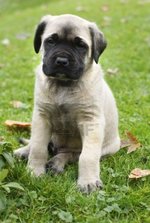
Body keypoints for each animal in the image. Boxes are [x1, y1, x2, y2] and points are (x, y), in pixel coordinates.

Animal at [13, 13, 119, 193]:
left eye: (81, 45)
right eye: (50, 41)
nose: (61, 61)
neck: (63, 85)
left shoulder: (91, 122)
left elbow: (87, 156)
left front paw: (88, 181)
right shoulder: (41, 118)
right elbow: (38, 147)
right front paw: (34, 171)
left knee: (70, 154)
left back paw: (56, 163)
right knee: (40, 145)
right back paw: (24, 151)